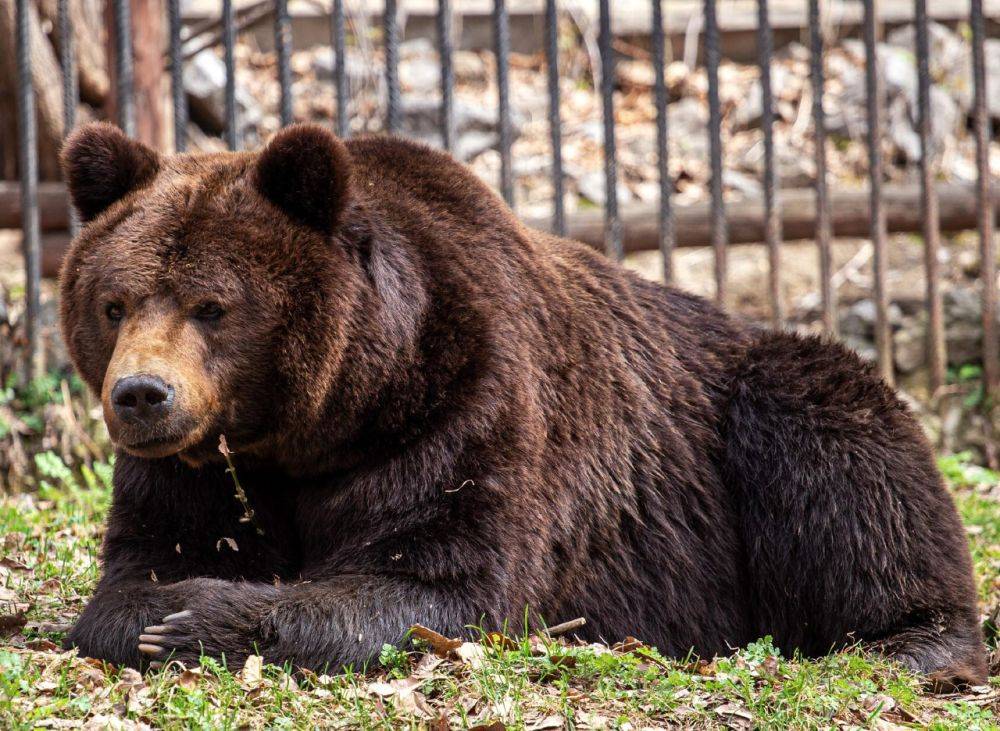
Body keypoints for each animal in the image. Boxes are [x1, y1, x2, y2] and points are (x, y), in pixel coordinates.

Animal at [58, 121, 988, 688]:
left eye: (212, 305)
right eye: (114, 301)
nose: (141, 394)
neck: (327, 418)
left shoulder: (463, 408)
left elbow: (437, 581)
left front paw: (198, 617)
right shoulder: (208, 467)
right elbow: (140, 566)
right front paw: (159, 608)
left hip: (764, 402)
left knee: (843, 455)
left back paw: (909, 642)